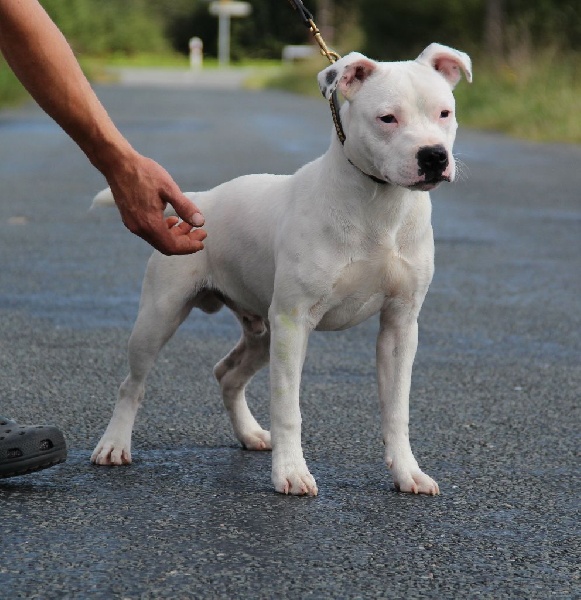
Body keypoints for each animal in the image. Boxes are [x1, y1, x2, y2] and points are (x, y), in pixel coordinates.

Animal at [90, 43, 472, 496]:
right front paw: (290, 472)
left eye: (445, 113)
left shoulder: (400, 324)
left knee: (227, 374)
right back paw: (114, 444)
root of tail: (198, 201)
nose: (433, 155)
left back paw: (250, 434)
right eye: (387, 118)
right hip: (160, 317)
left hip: (263, 331)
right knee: (132, 384)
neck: (379, 206)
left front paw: (406, 472)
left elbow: (396, 409)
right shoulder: (294, 322)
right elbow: (288, 407)